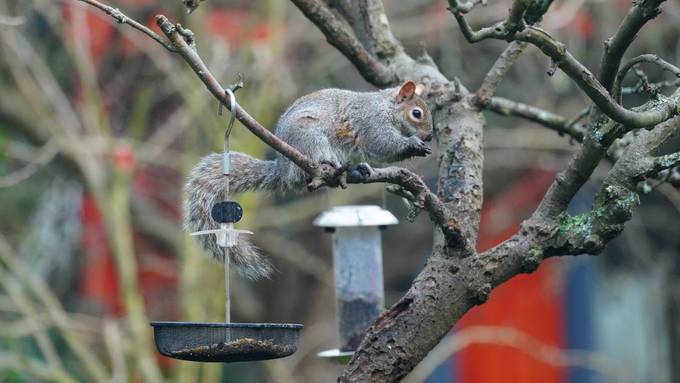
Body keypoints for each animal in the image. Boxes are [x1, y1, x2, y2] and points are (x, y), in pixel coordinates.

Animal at [183, 81, 432, 280]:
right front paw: (412, 144)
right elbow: (382, 143)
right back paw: (327, 164)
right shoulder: (371, 122)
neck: (386, 107)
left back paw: (360, 168)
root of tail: (284, 168)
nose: (429, 136)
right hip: (310, 137)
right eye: (416, 113)